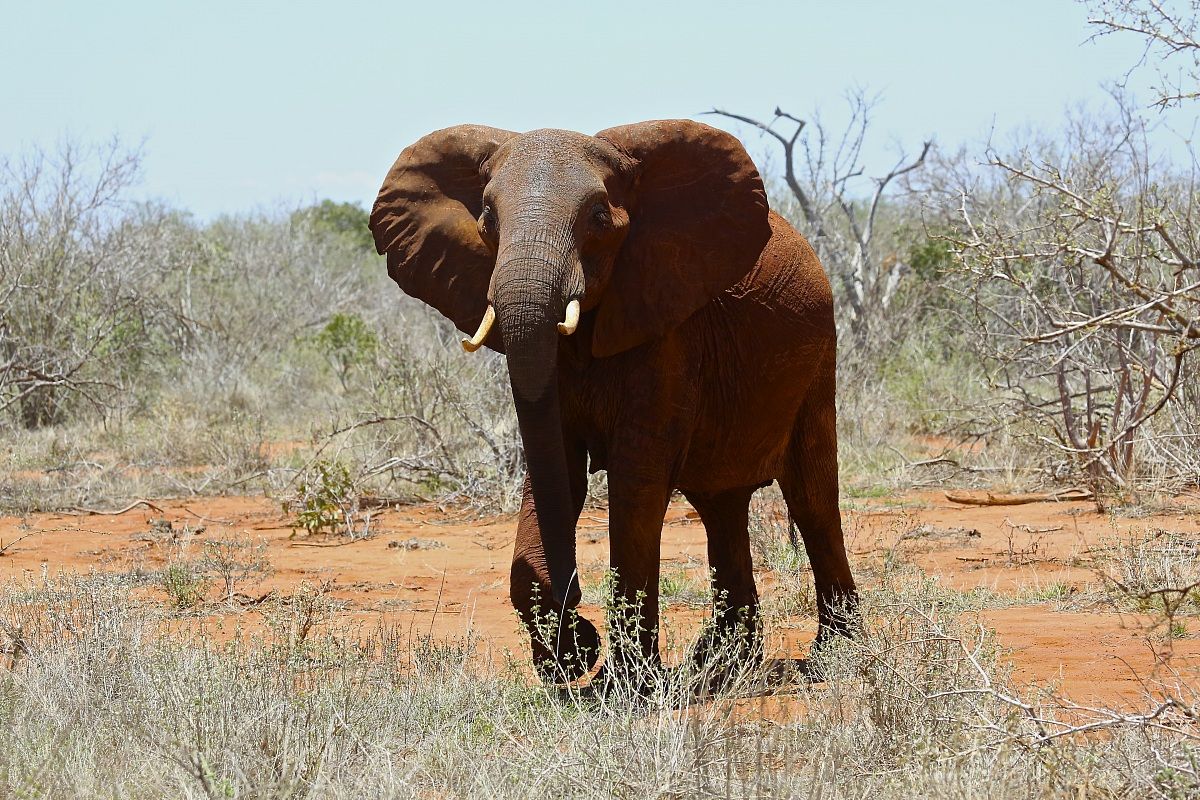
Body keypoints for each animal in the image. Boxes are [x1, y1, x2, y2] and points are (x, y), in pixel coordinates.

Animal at [369, 119, 857, 683]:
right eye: (487, 219)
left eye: (599, 218)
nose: (578, 632)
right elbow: (557, 466)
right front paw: (578, 658)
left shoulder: (667, 329)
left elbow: (636, 478)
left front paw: (624, 685)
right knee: (721, 506)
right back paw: (720, 666)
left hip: (817, 363)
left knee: (811, 498)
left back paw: (836, 657)